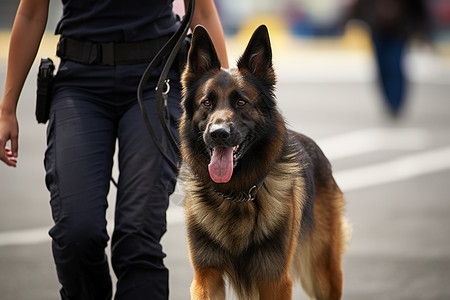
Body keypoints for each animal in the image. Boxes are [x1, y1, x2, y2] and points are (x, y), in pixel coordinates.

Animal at [179, 24, 352, 298]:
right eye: (206, 103)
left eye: (241, 102)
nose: (218, 134)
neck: (235, 194)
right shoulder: (206, 277)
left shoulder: (274, 280)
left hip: (322, 276)